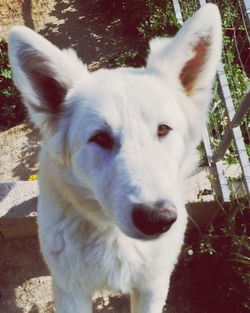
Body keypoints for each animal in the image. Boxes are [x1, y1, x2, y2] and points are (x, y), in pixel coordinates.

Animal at [8, 4, 222, 312]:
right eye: (100, 138)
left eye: (163, 129)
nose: (156, 219)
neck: (115, 236)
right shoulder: (70, 292)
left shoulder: (152, 286)